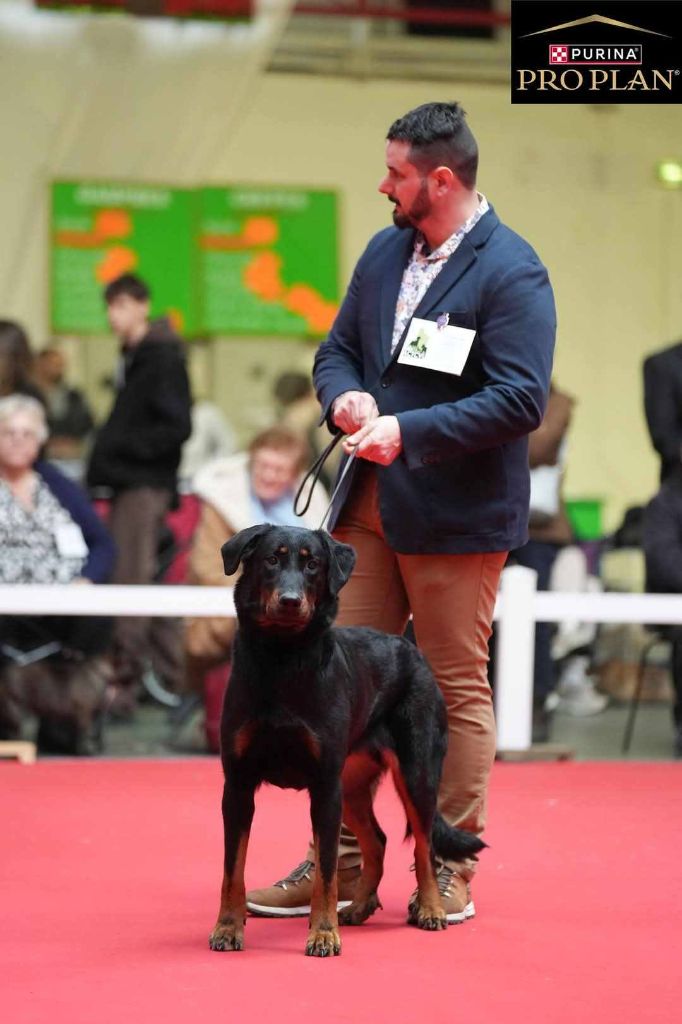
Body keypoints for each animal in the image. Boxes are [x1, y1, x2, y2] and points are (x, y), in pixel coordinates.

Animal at [206, 524, 483, 954]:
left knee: (424, 844)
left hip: (414, 770)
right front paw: (228, 928)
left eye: (313, 565)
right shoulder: (238, 784)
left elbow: (327, 870)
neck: (282, 658)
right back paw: (359, 906)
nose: (290, 601)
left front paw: (322, 933)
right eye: (271, 559)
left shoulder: (324, 786)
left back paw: (432, 908)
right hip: (350, 783)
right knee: (378, 841)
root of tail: (410, 647)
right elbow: (233, 868)